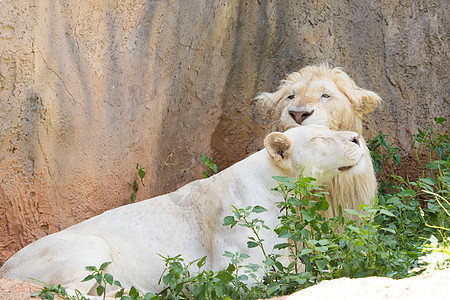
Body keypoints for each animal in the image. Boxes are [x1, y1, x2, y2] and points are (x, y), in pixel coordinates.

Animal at [0, 125, 366, 296]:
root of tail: (6, 267)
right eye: (320, 138)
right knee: (64, 291)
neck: (277, 190)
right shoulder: (236, 266)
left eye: (333, 127)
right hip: (86, 245)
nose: (357, 138)